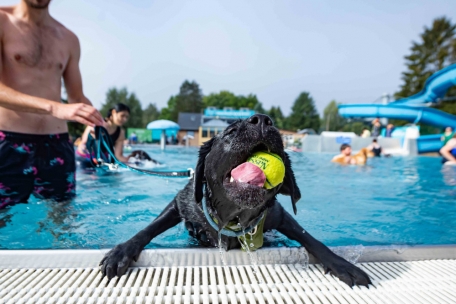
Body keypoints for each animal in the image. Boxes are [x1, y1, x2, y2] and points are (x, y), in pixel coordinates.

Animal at [100, 114, 370, 288]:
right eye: (229, 132)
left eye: (279, 138)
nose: (263, 120)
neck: (234, 216)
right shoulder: (183, 202)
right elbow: (149, 228)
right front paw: (122, 251)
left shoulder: (279, 216)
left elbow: (312, 240)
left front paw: (342, 264)